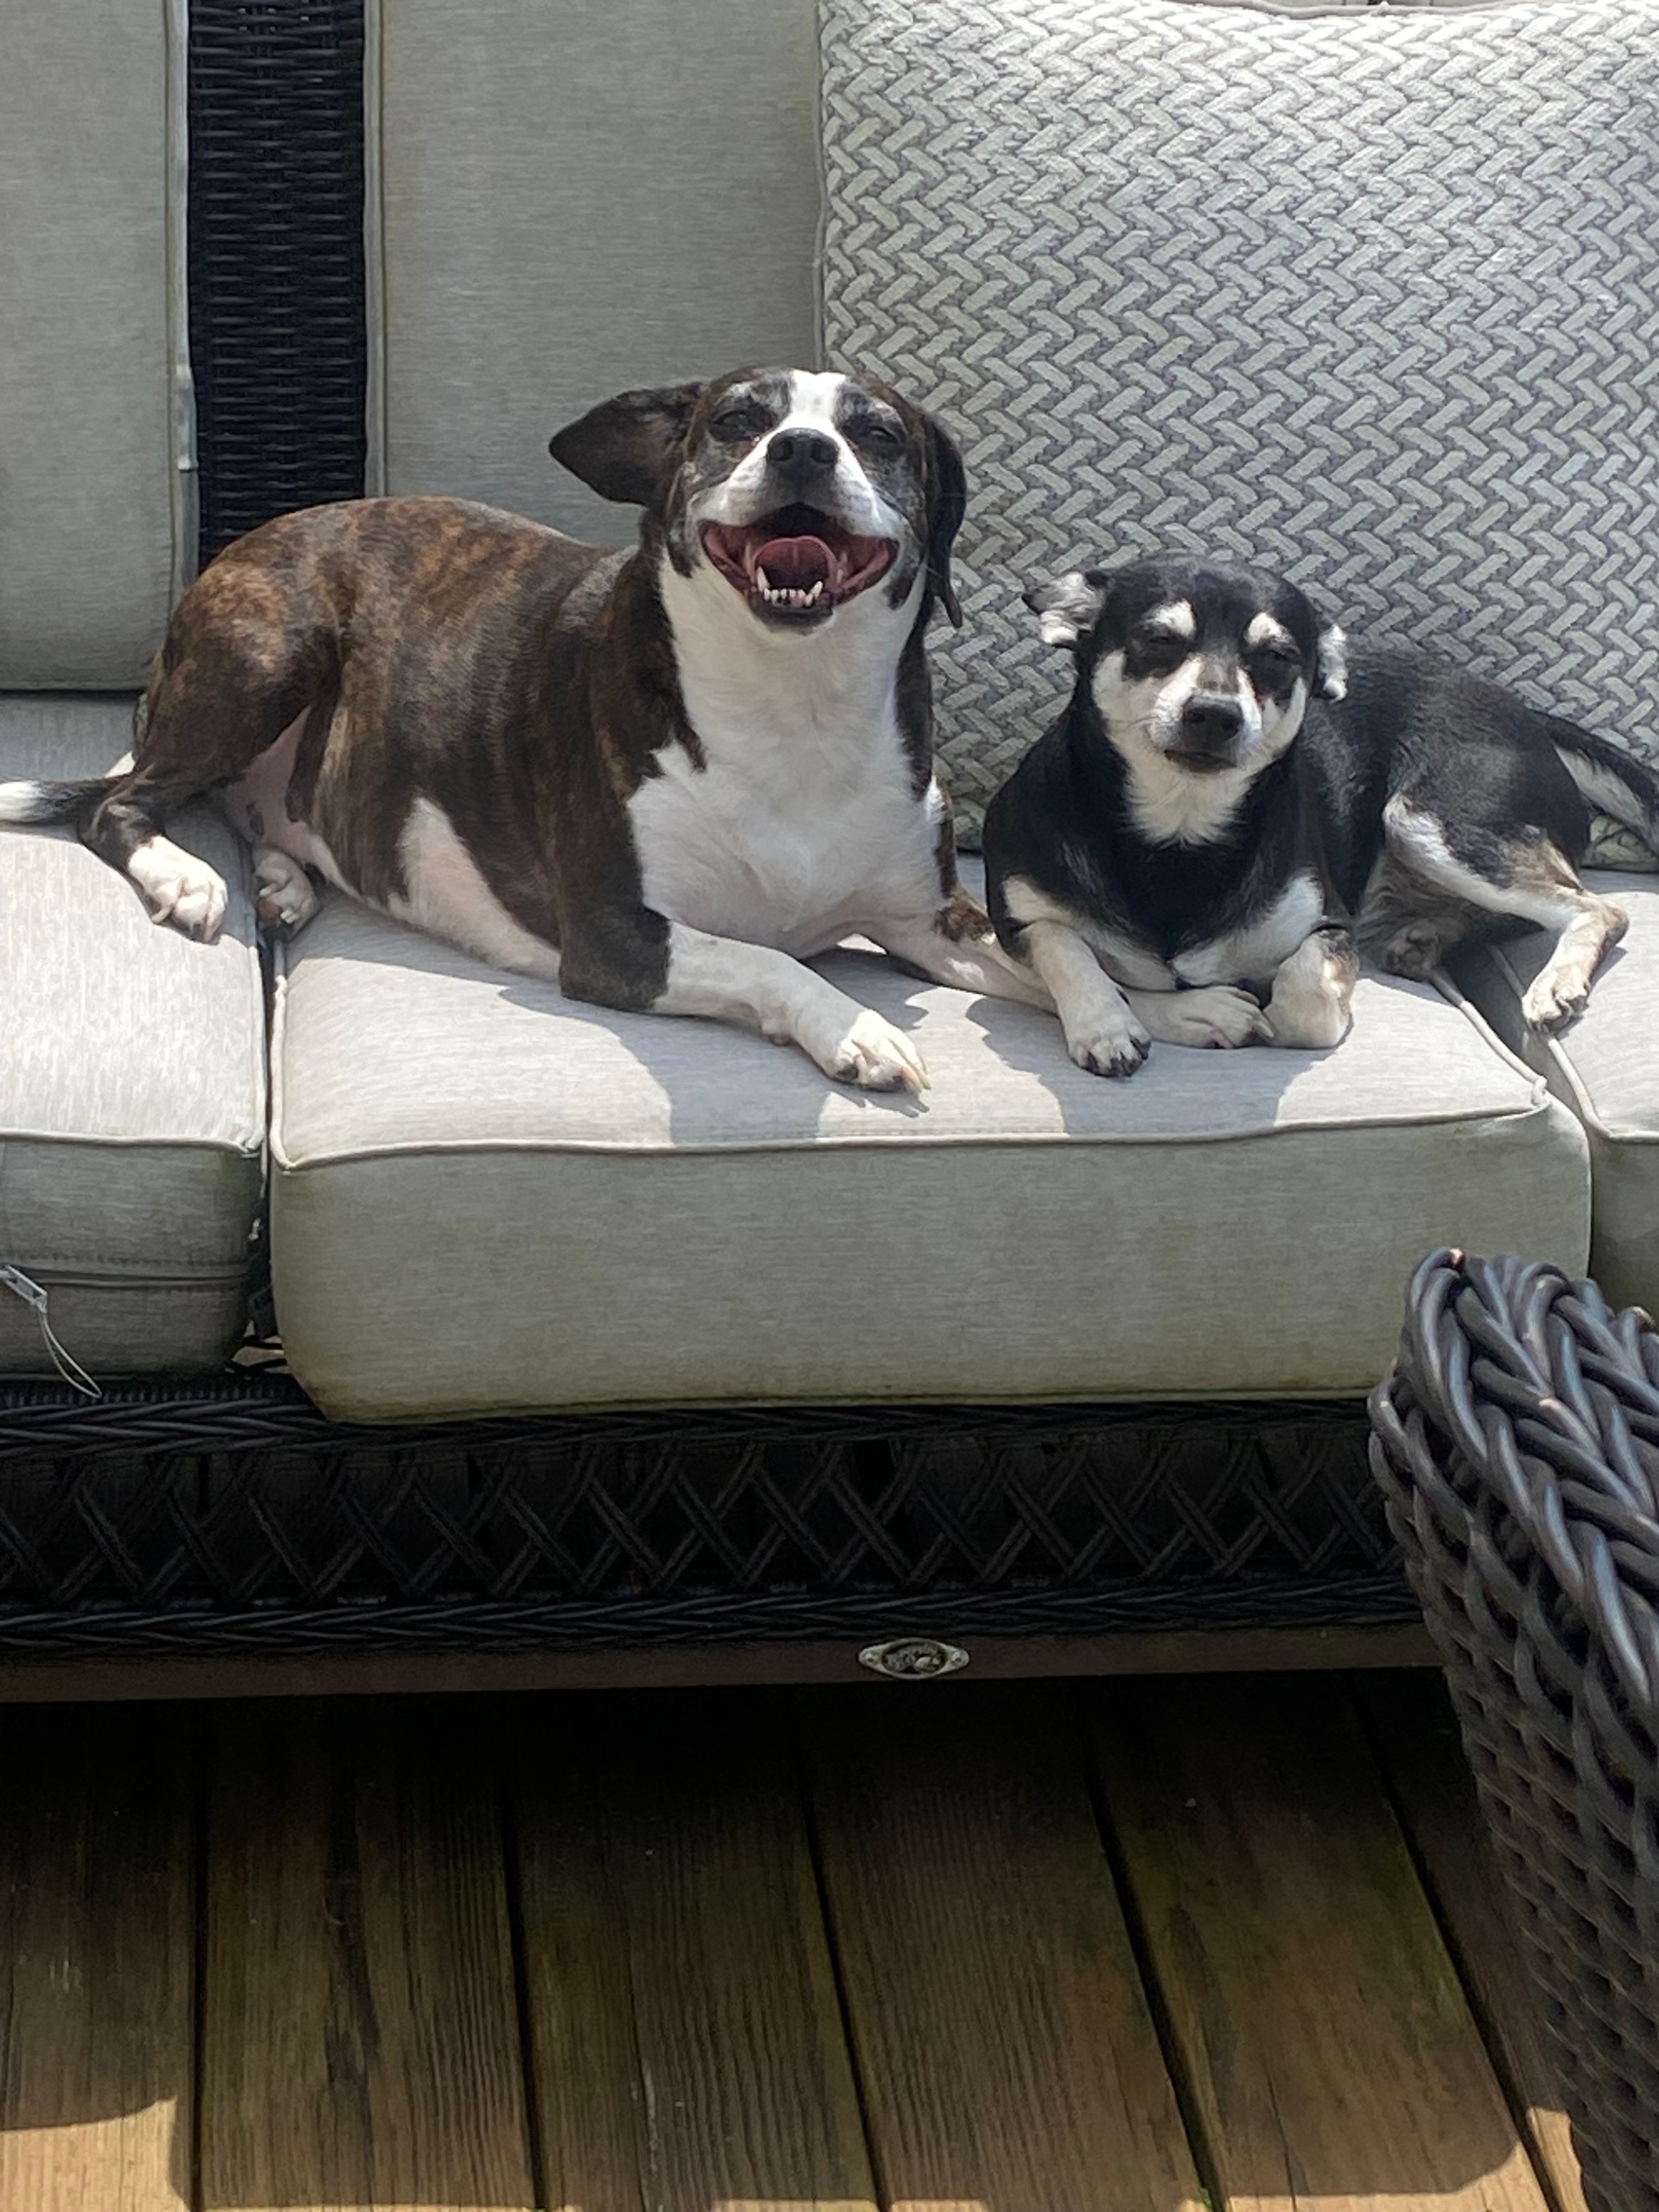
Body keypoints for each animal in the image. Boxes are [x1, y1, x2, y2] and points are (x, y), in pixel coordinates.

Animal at [0, 369, 1044, 1088]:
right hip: (269, 652)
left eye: (877, 435)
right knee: (122, 803)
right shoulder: (618, 939)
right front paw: (855, 1026)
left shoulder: (930, 919)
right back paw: (184, 875)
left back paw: (282, 879)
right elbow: (770, 957)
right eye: (737, 421)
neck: (795, 701)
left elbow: (1057, 960)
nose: (801, 450)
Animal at [986, 550, 1659, 1070]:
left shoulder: (1328, 928)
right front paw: (1113, 1024)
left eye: (1278, 657)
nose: (1215, 714)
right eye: (1158, 640)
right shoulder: (1010, 928)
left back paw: (1553, 980)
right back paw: (1424, 939)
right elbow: (1067, 946)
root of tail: (1529, 718)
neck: (1178, 835)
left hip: (1432, 823)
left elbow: (1300, 1003)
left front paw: (1237, 1008)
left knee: (1596, 910)